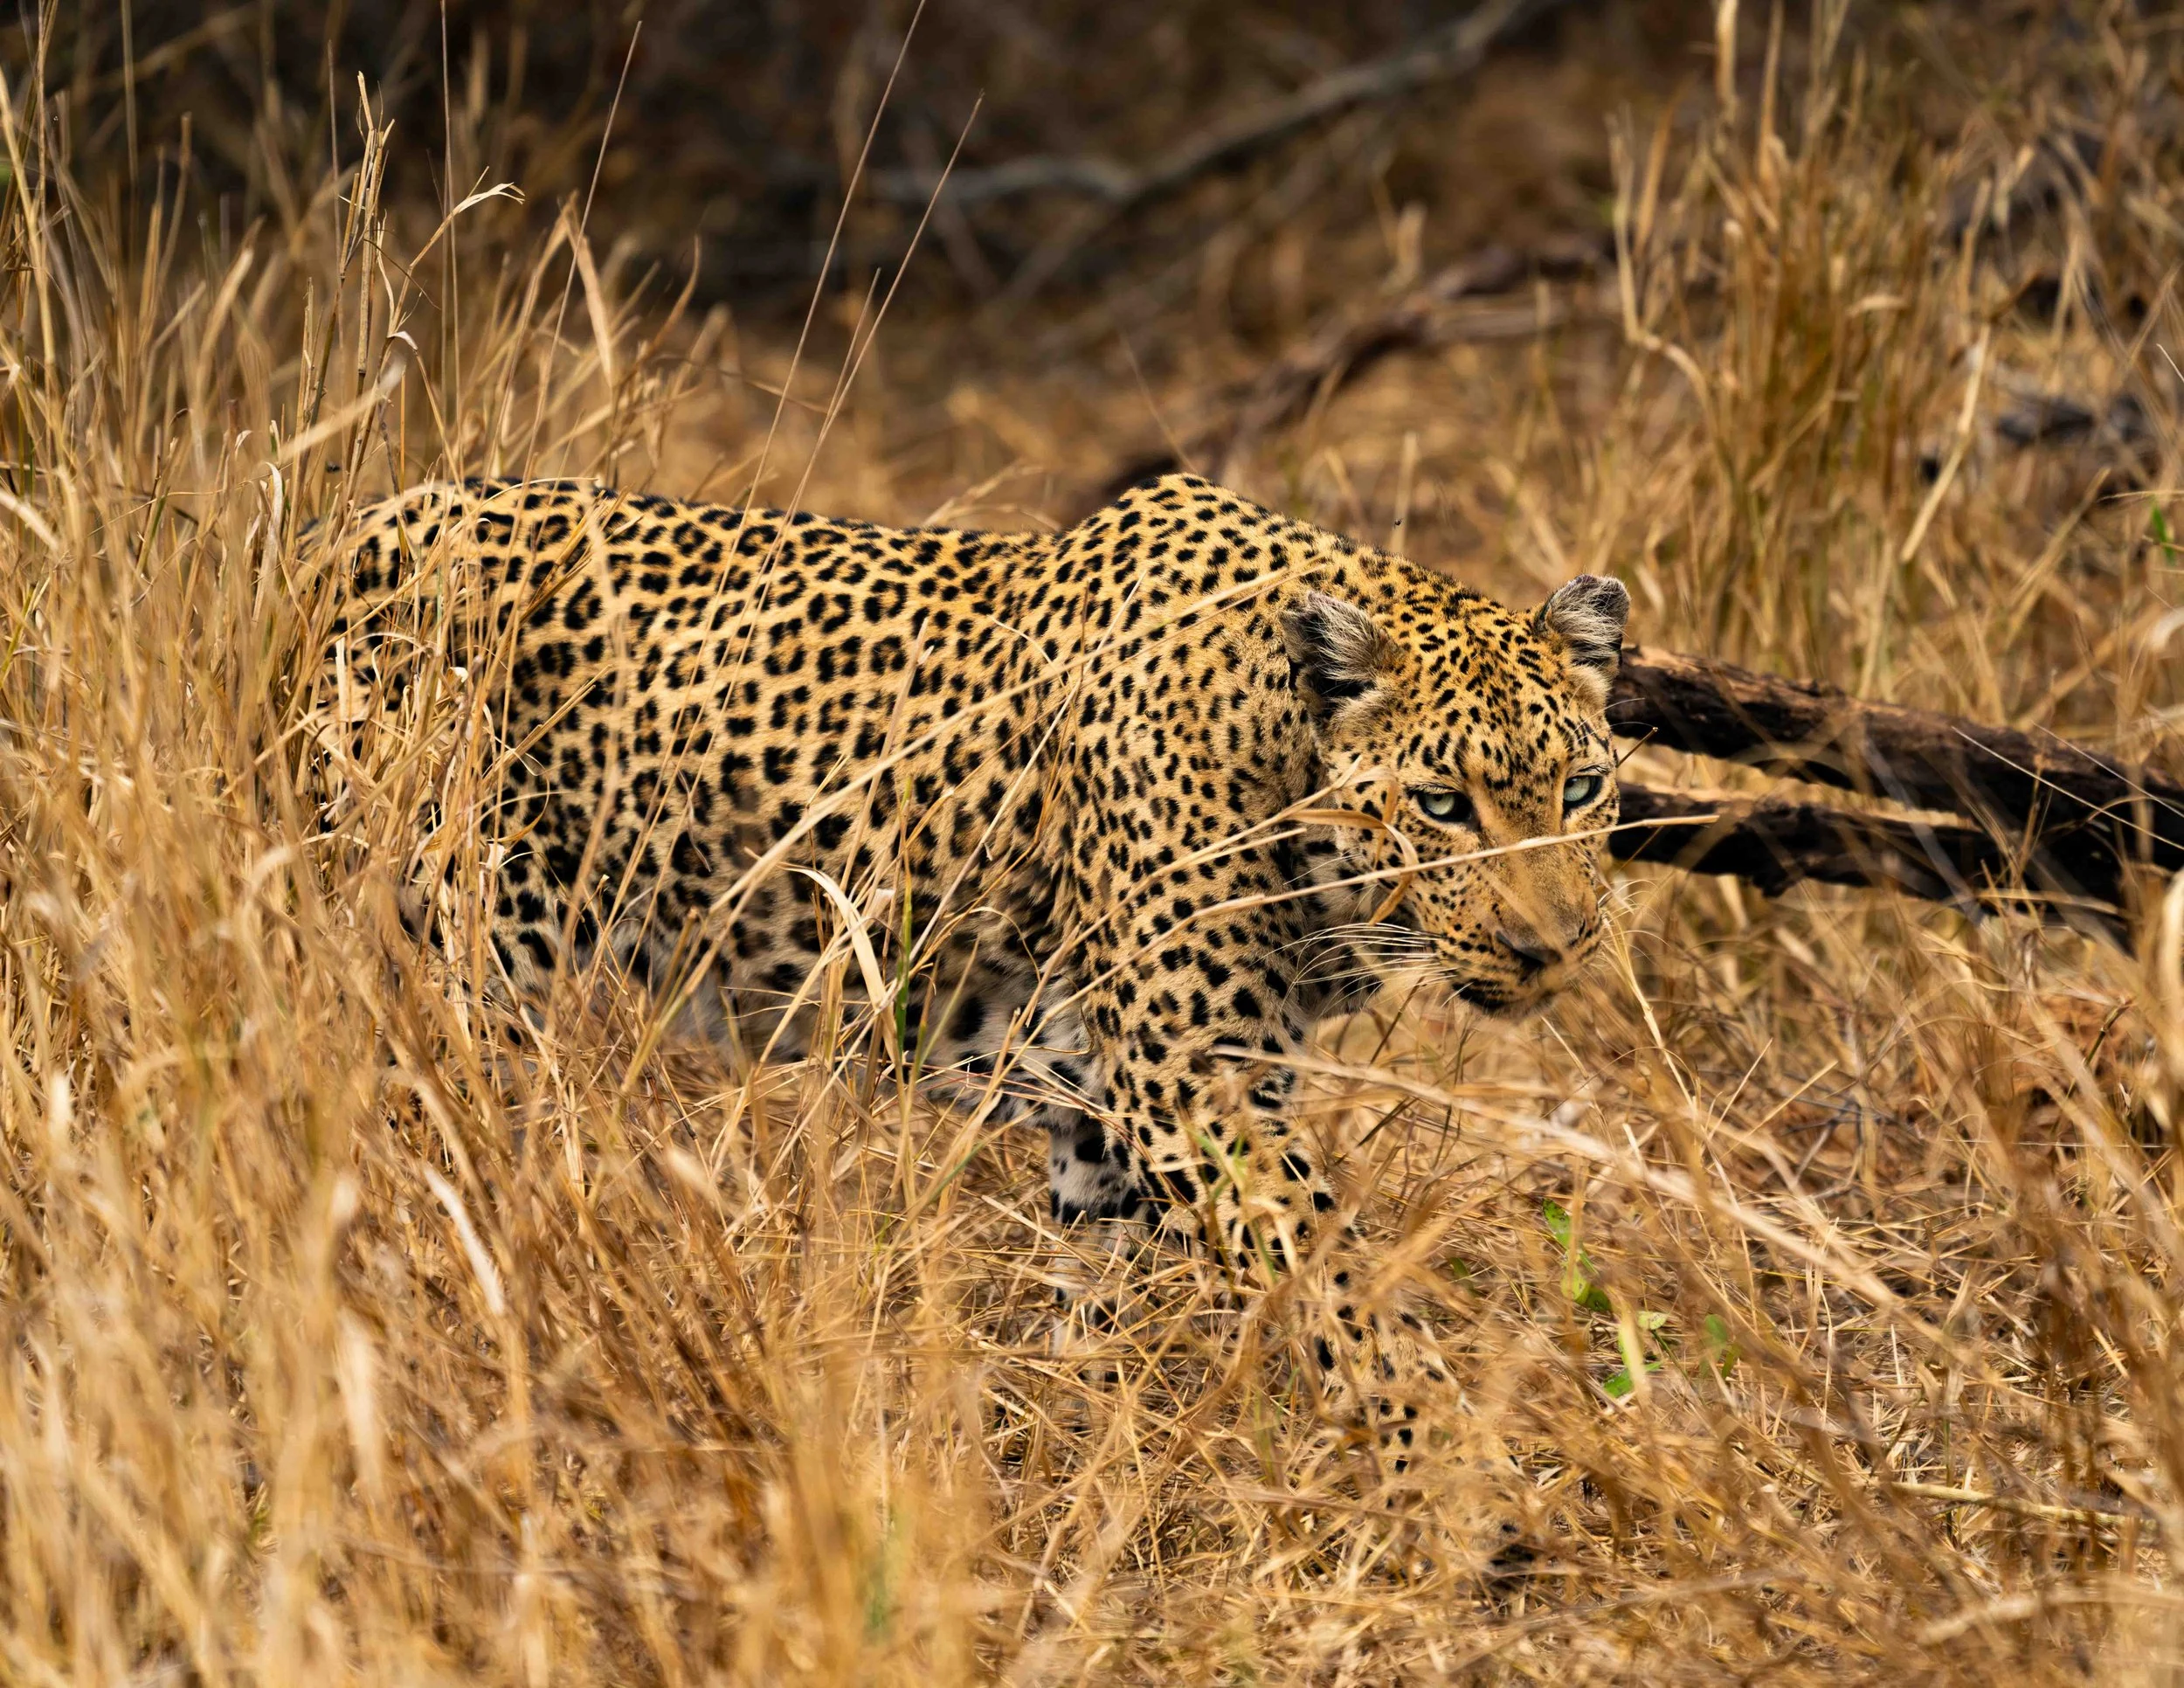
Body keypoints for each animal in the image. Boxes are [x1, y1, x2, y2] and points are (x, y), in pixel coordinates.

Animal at [320, 468, 1630, 1467]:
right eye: (1442, 806)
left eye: (1580, 787)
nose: (1553, 945)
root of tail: (352, 522)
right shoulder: (1193, 1090)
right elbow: (1337, 1285)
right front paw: (1453, 1473)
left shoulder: (1115, 1115)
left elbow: (1101, 1302)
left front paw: (1085, 1454)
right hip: (450, 956)